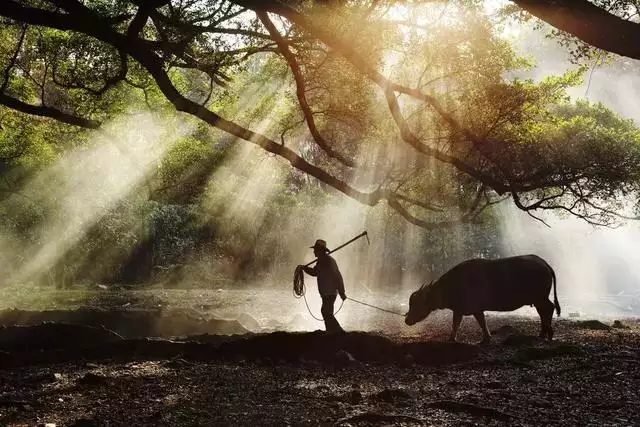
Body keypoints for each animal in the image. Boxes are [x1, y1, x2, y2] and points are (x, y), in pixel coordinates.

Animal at [404, 256, 560, 342]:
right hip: (539, 299)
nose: (407, 320)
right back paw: (544, 333)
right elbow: (456, 324)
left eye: (415, 303)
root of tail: (544, 263)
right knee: (544, 311)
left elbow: (481, 322)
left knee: (548, 309)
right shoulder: (459, 310)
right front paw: (452, 338)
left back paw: (546, 333)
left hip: (540, 297)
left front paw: (486, 338)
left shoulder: (474, 308)